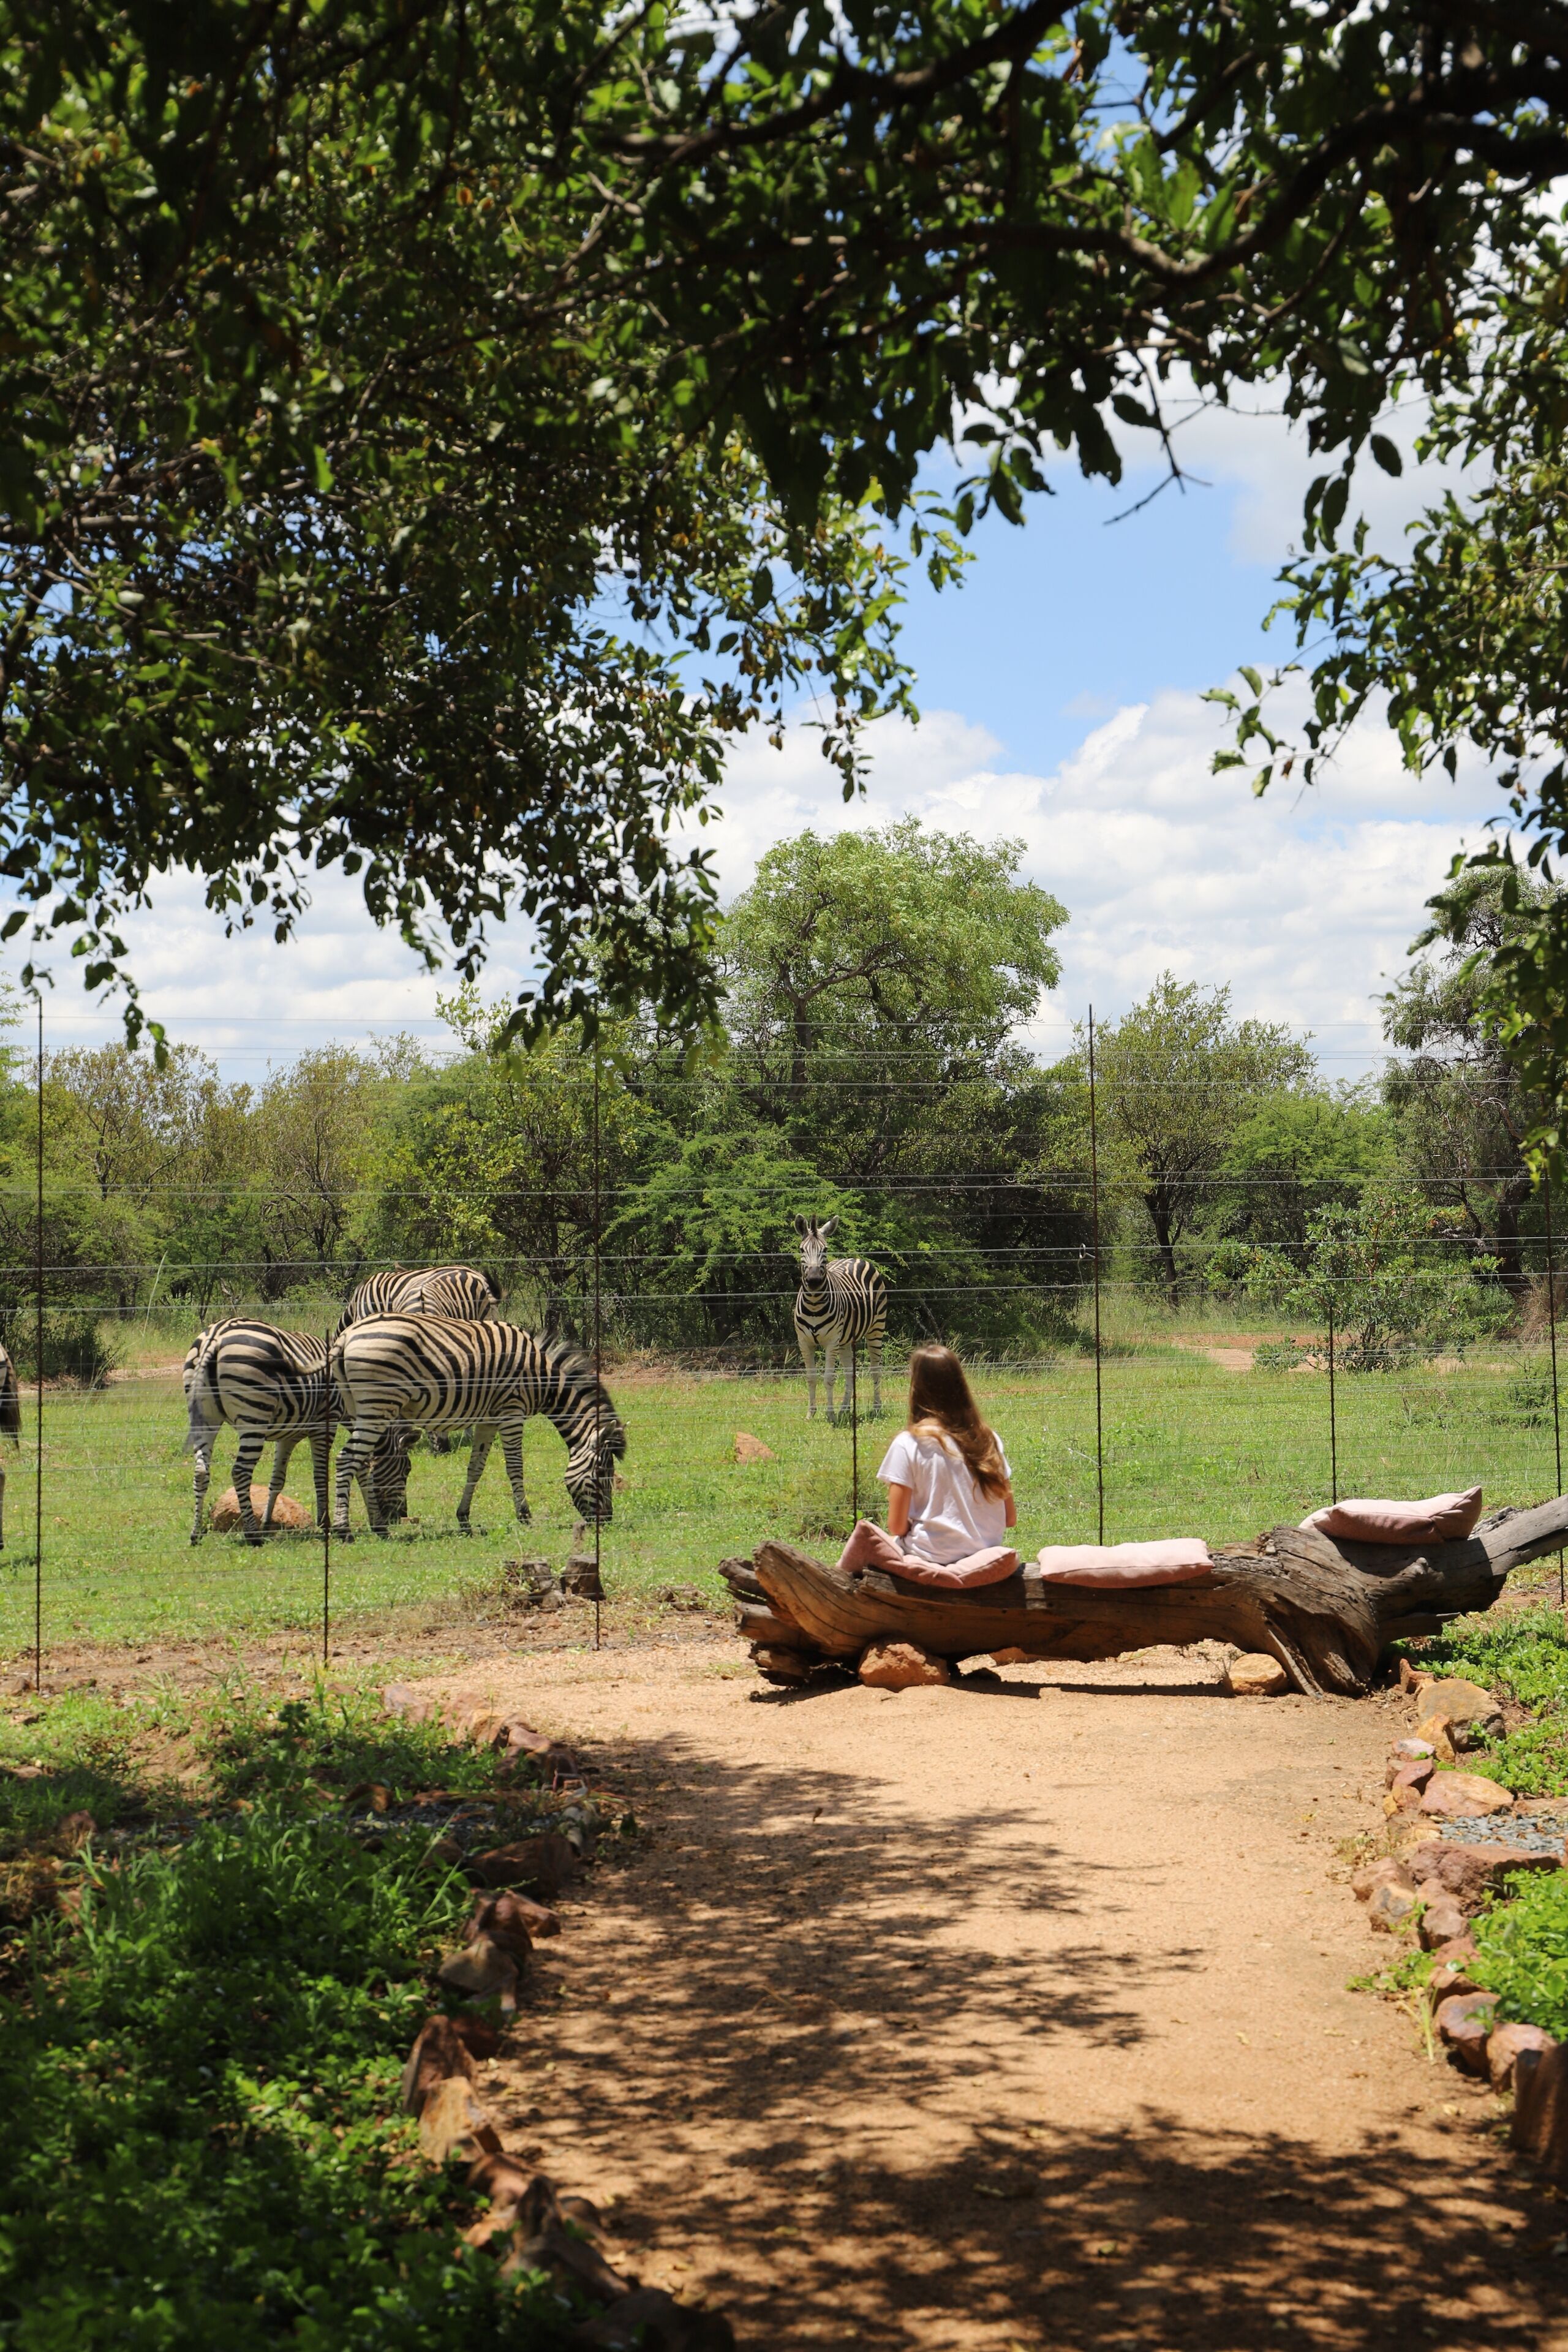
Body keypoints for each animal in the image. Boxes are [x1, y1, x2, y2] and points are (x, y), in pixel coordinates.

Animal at [182, 1319, 405, 1546]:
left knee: (201, 1472)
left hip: (205, 1419)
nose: (400, 1516)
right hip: (253, 1416)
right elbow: (321, 1474)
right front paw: (326, 1522)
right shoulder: (326, 1421)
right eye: (407, 1471)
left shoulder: (287, 1436)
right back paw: (252, 1535)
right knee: (240, 1471)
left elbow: (277, 1480)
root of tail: (216, 1335)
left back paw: (196, 1534)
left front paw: (267, 1523)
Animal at [331, 1316, 625, 1539]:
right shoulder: (512, 1410)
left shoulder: (489, 1419)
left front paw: (464, 1519)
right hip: (378, 1405)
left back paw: (377, 1527)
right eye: (601, 1472)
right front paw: (525, 1516)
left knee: (361, 1462)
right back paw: (344, 1531)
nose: (607, 1520)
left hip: (361, 1408)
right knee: (347, 1459)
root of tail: (346, 1337)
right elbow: (515, 1466)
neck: (544, 1380)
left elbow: (476, 1468)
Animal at [793, 1215, 887, 1421]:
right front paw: (811, 1414)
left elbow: (829, 1378)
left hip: (876, 1328)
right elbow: (811, 1377)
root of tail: (855, 1258)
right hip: (845, 1340)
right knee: (850, 1372)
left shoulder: (831, 1341)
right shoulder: (804, 1341)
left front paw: (831, 1415)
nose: (813, 1281)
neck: (814, 1304)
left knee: (875, 1370)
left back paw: (876, 1408)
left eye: (825, 1249)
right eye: (802, 1249)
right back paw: (844, 1409)